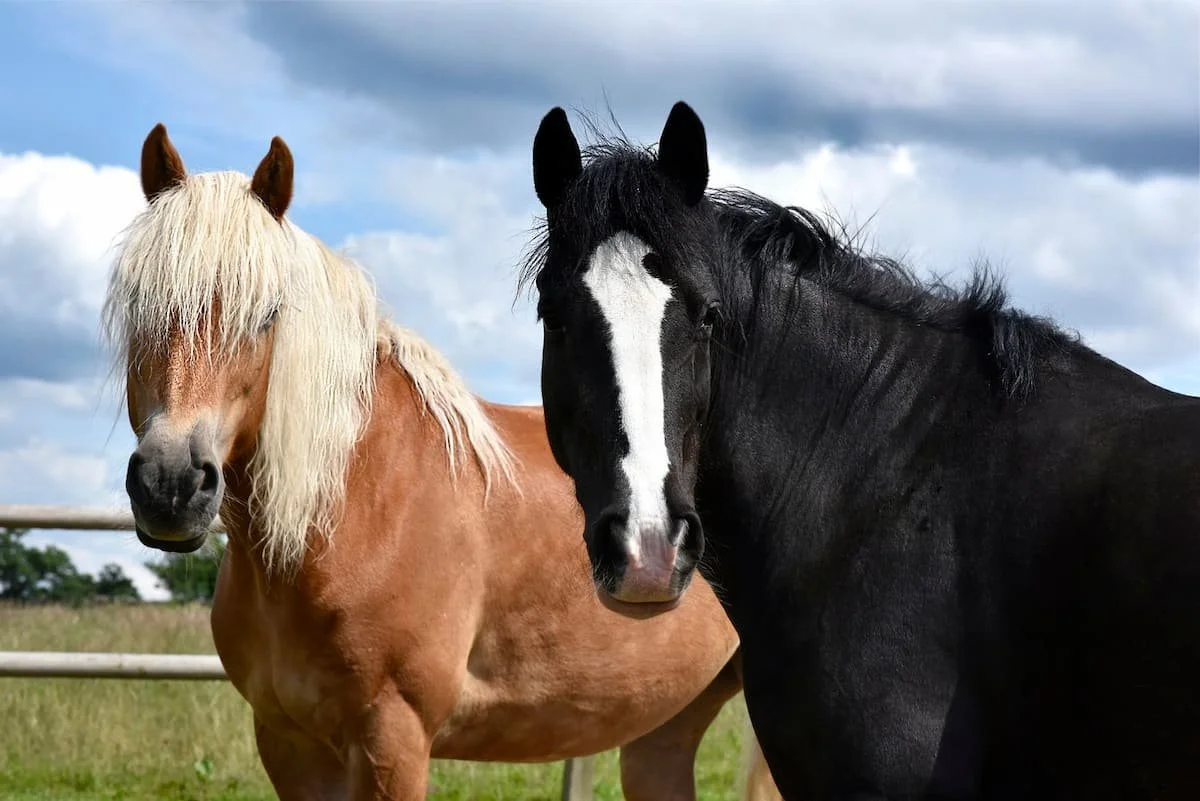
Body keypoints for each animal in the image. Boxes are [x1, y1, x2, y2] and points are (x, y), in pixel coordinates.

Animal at [102, 123, 783, 801]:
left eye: (267, 314)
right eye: (138, 304)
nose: (170, 484)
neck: (358, 504)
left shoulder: (394, 739)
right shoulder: (287, 744)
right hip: (666, 723)